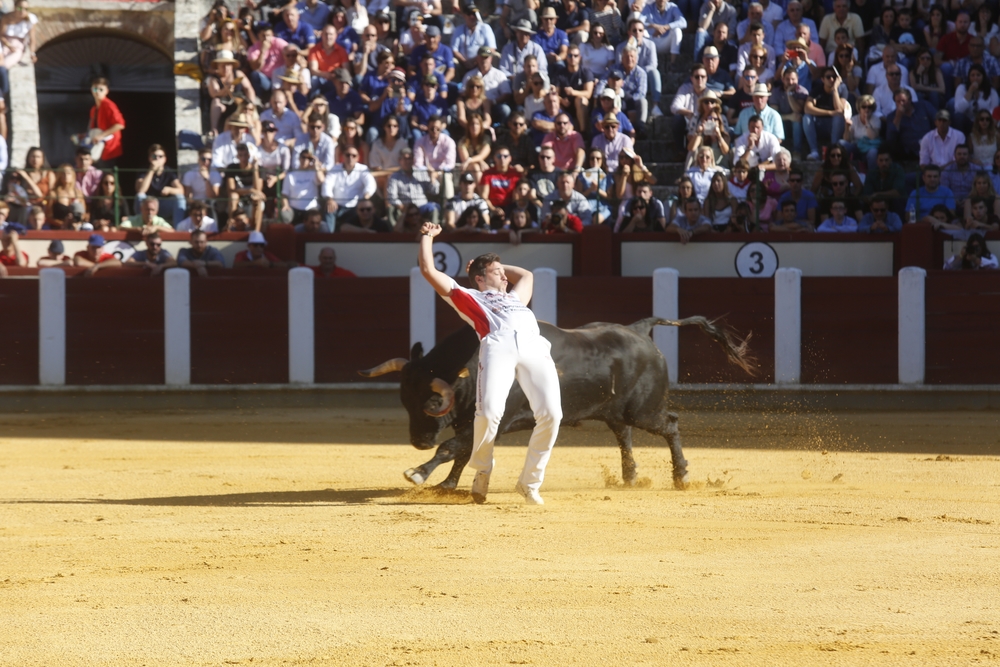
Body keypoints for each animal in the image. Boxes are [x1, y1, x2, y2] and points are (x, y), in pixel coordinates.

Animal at [360, 318, 752, 490]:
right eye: (403, 400)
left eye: (433, 400)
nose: (418, 441)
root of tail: (639, 329)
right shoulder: (474, 422)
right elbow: (463, 451)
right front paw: (446, 486)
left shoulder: (497, 420)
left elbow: (453, 448)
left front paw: (419, 473)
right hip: (613, 410)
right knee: (623, 435)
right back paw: (629, 478)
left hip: (643, 410)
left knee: (669, 424)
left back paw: (681, 477)